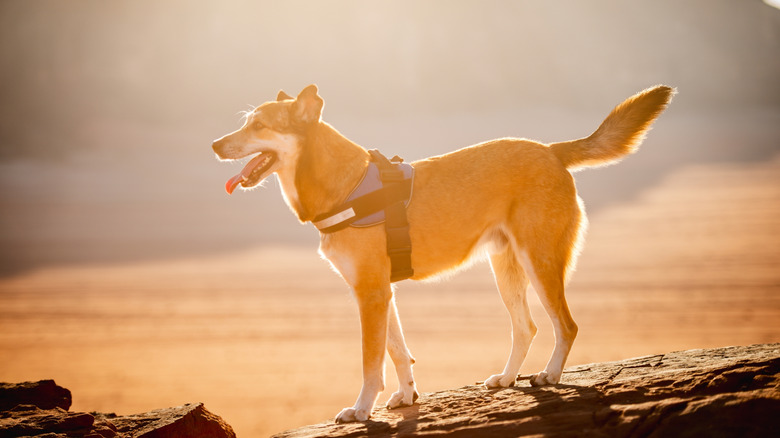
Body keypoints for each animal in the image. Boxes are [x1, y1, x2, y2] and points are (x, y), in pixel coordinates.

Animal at [210, 84, 672, 422]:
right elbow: (398, 352)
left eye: (259, 125)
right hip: (506, 270)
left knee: (567, 325)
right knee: (526, 328)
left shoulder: (370, 294)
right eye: (247, 122)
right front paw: (407, 395)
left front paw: (361, 409)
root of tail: (551, 150)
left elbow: (371, 363)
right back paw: (508, 378)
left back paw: (550, 375)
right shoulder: (379, 292)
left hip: (540, 261)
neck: (347, 186)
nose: (214, 144)